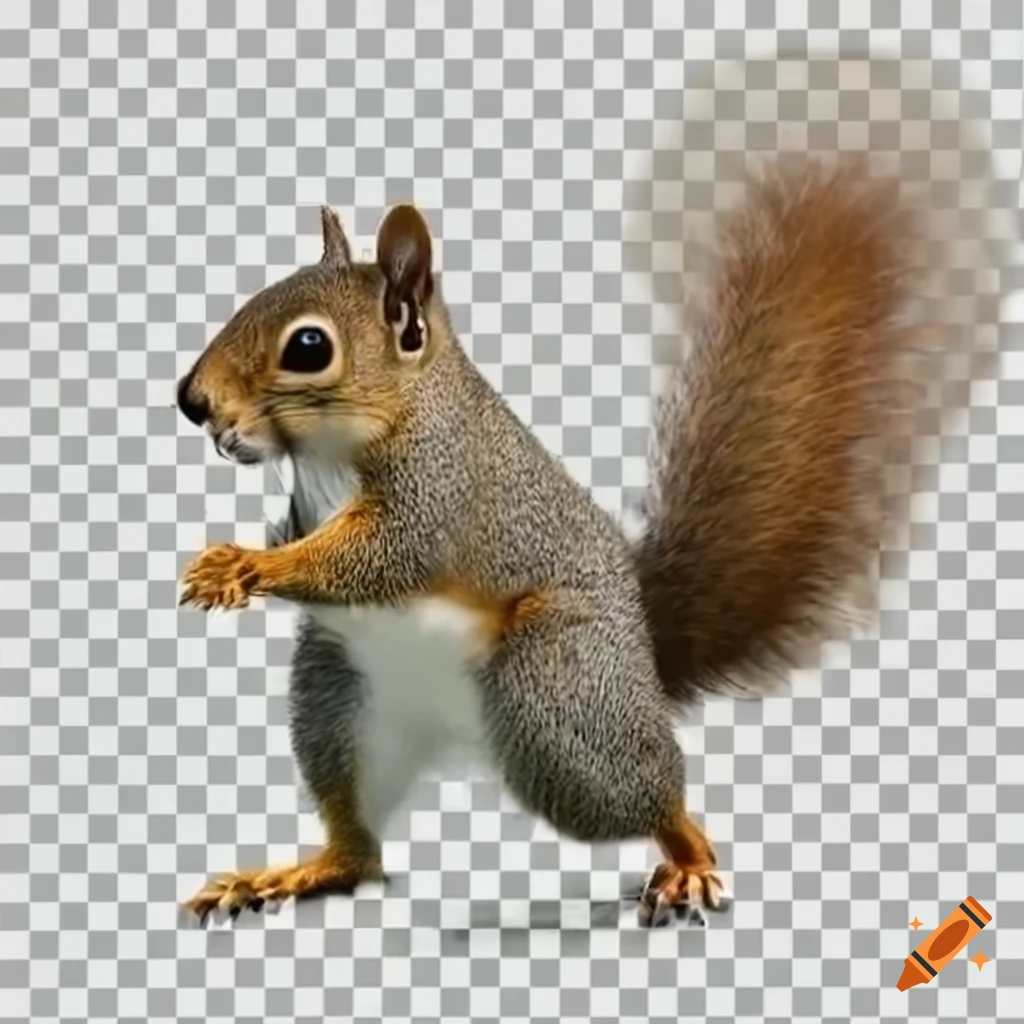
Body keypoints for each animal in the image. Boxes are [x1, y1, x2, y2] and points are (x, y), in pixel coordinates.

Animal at [176, 154, 927, 927]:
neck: (335, 447)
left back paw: (688, 858)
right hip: (338, 699)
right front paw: (234, 556)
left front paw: (247, 565)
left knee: (648, 789)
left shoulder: (438, 484)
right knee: (359, 850)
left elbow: (383, 555)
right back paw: (290, 875)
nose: (192, 402)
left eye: (308, 346)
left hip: (555, 694)